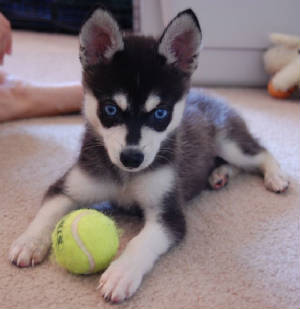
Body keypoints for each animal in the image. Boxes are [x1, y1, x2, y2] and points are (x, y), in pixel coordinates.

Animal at [9, 8, 288, 302]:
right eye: (110, 109)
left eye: (160, 113)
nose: (132, 158)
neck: (124, 178)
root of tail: (212, 96)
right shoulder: (69, 186)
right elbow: (47, 211)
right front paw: (29, 241)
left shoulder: (169, 214)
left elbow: (141, 242)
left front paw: (121, 272)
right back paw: (218, 175)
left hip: (228, 142)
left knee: (259, 153)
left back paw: (275, 176)